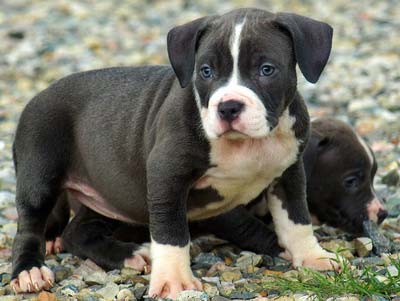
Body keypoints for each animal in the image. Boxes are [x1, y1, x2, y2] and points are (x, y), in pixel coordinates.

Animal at [10, 8, 336, 296]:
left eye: (266, 70)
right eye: (206, 71)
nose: (228, 106)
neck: (244, 144)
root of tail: (38, 96)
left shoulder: (289, 171)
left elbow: (296, 219)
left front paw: (313, 257)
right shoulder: (166, 175)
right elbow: (171, 232)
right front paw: (174, 281)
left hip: (113, 193)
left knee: (77, 232)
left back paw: (130, 254)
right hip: (40, 172)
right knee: (29, 226)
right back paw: (29, 271)